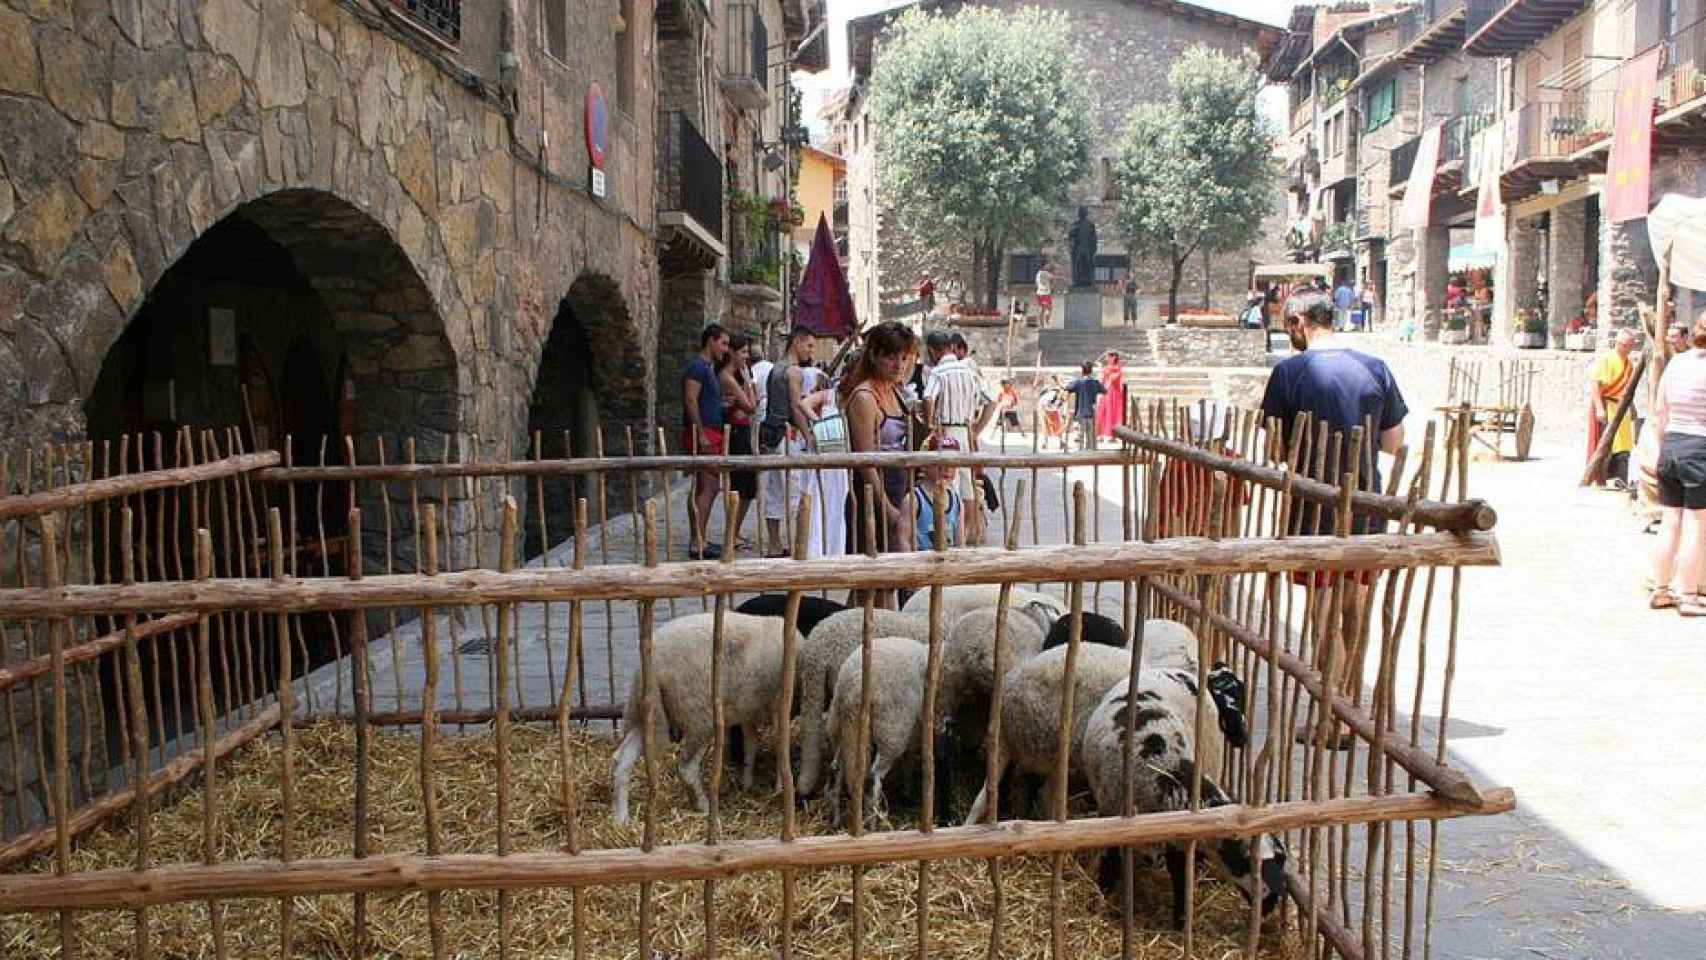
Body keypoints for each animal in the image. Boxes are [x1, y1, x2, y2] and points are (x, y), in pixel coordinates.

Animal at [610, 617, 801, 825]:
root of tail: (650, 669)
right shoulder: (779, 706)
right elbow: (780, 748)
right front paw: (780, 789)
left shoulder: (748, 711)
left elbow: (751, 746)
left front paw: (747, 783)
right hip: (699, 716)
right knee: (686, 767)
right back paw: (706, 808)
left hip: (648, 713)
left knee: (623, 758)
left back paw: (621, 819)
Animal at [822, 637, 928, 825]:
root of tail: (854, 688)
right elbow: (909, 759)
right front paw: (907, 792)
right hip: (891, 729)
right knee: (874, 776)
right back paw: (873, 821)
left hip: (839, 725)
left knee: (837, 769)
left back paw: (835, 819)